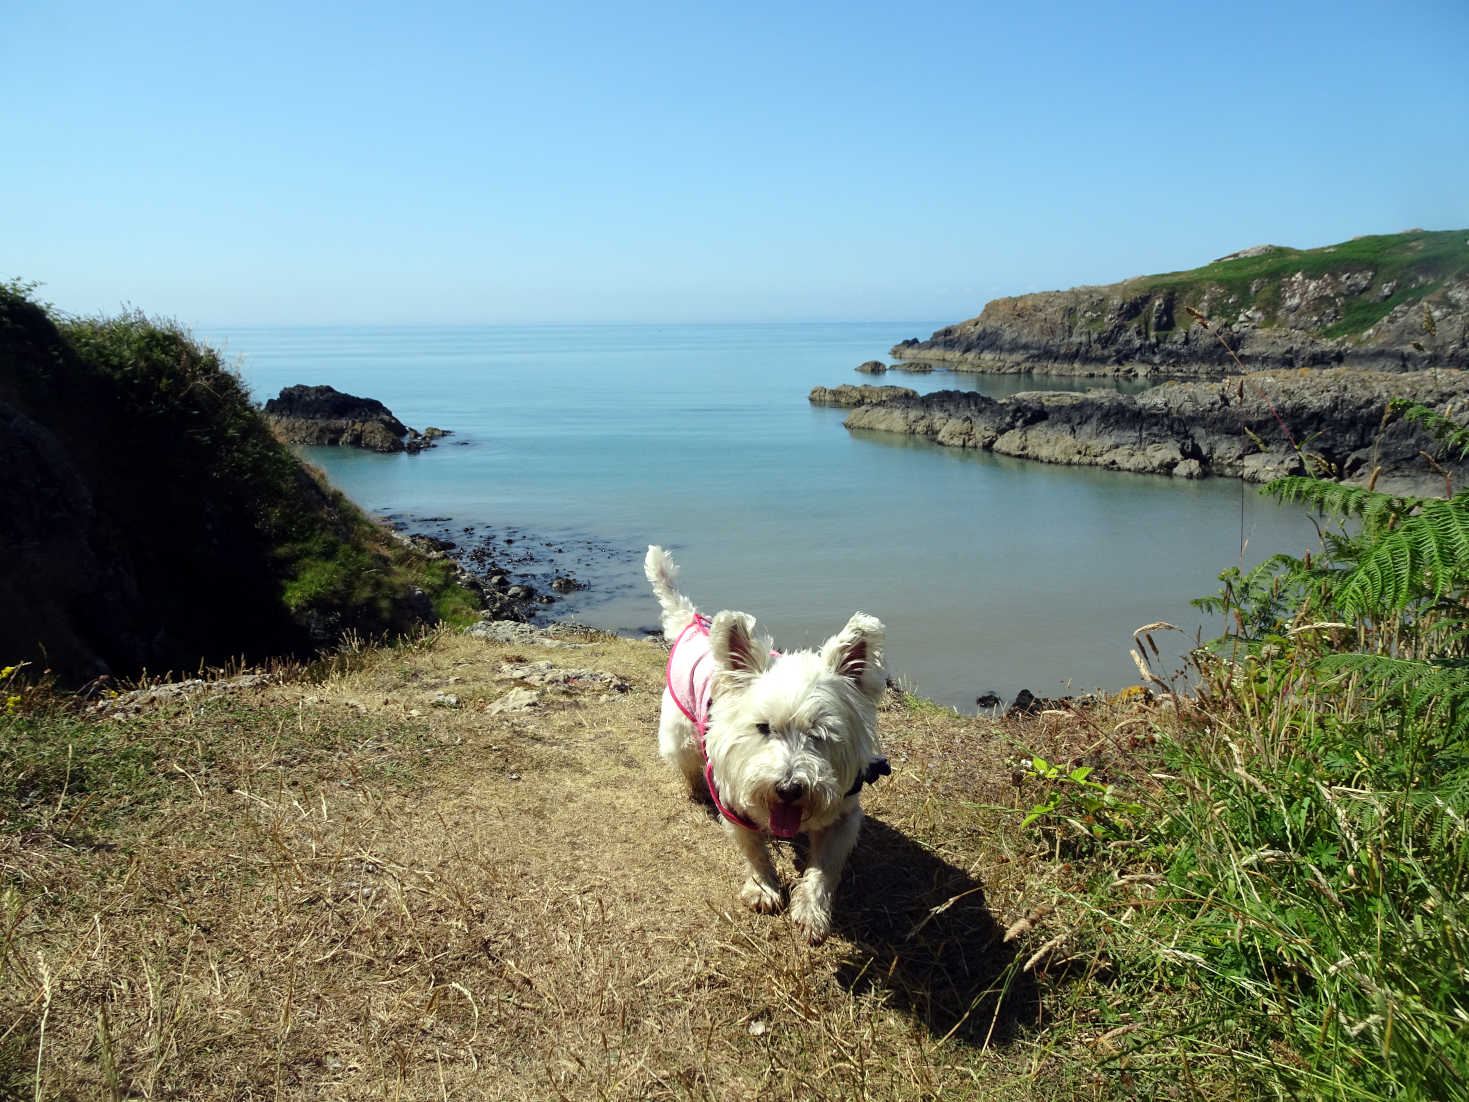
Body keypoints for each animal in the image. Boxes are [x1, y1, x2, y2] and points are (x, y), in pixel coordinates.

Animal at [649, 549, 887, 946]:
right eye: (763, 728)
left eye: (820, 733)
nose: (789, 788)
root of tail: (692, 623)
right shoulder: (732, 805)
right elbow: (753, 849)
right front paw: (763, 888)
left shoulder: (844, 814)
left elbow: (825, 866)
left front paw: (812, 911)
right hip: (678, 730)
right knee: (685, 760)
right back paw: (694, 788)